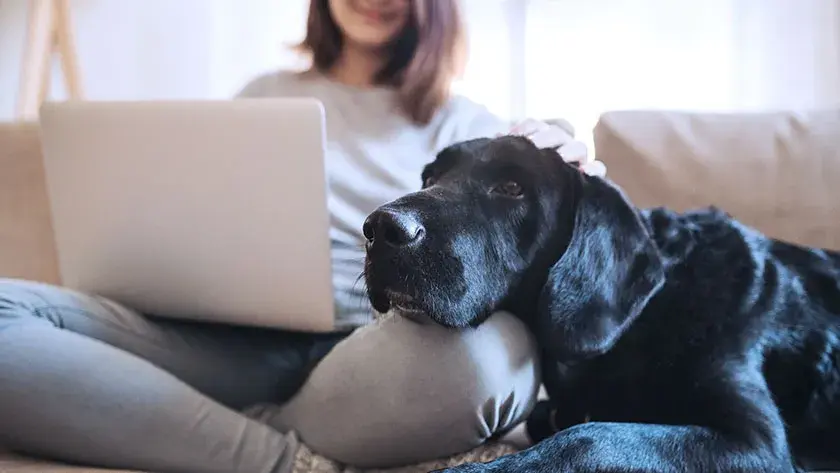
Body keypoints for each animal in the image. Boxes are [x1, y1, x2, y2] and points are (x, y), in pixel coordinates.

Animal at [360, 135, 840, 470]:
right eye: (429, 178)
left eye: (512, 187)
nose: (380, 228)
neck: (646, 317)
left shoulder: (755, 442)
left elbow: (590, 437)